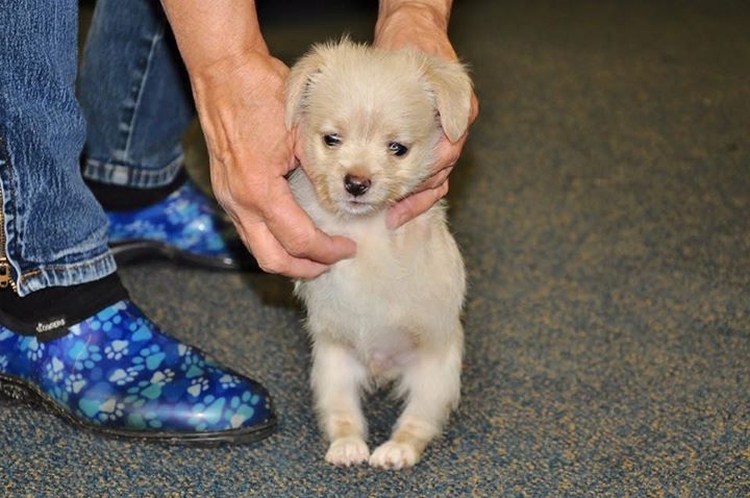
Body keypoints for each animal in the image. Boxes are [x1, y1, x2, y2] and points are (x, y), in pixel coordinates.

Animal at [284, 40, 472, 470]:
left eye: (397, 149)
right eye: (331, 139)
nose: (356, 183)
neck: (362, 226)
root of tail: (382, 368)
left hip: (436, 378)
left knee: (416, 424)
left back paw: (395, 451)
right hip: (332, 370)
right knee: (344, 417)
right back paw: (348, 447)